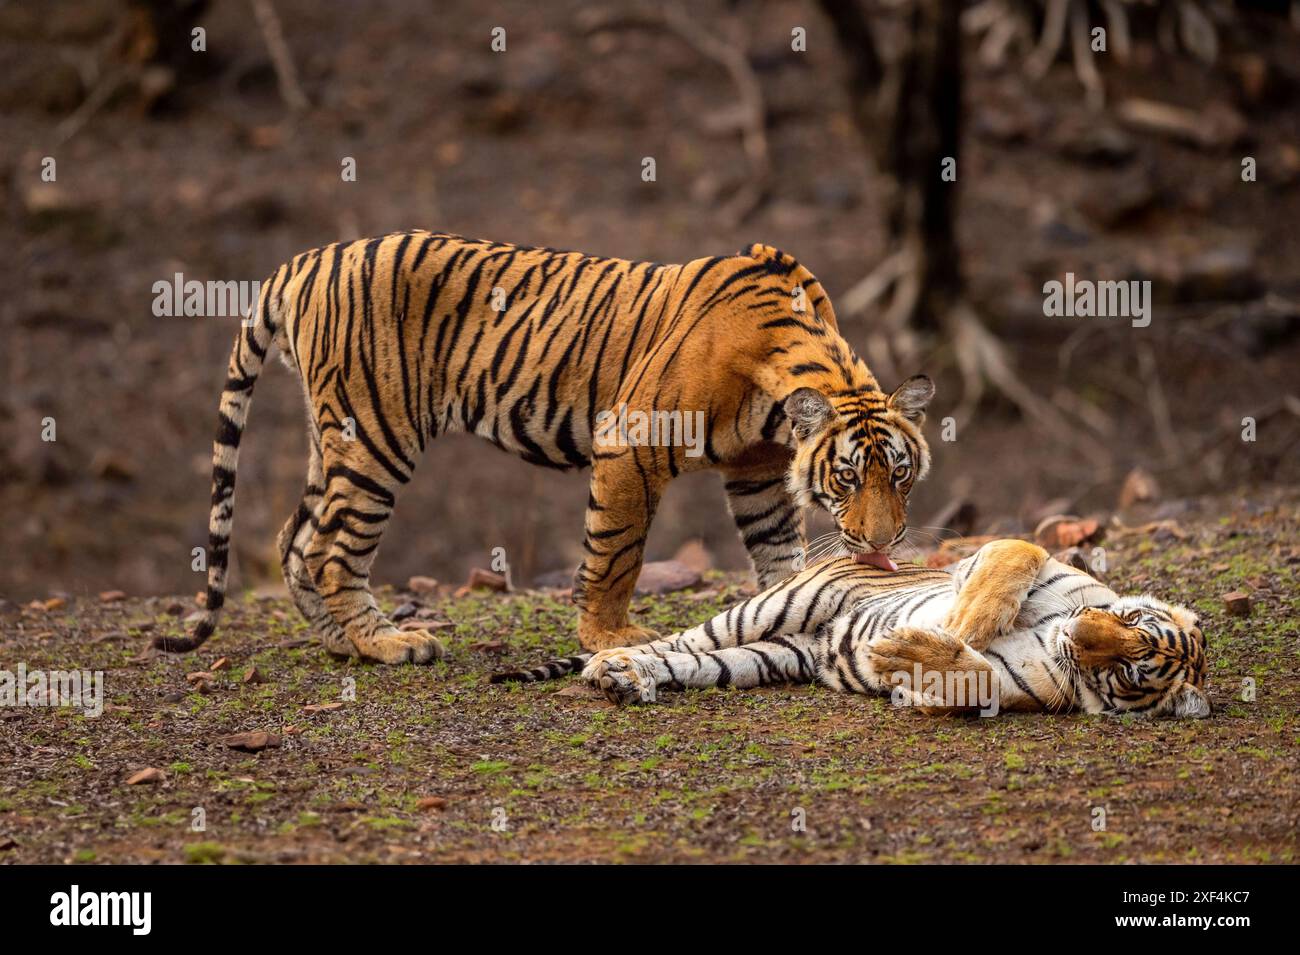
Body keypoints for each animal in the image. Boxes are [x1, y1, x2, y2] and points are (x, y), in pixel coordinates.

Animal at [157, 231, 935, 665]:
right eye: (846, 477)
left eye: (899, 476)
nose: (880, 543)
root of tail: (305, 259)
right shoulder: (630, 442)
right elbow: (616, 553)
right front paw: (608, 637)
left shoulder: (757, 472)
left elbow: (778, 556)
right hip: (376, 433)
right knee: (329, 547)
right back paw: (387, 645)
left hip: (335, 438)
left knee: (294, 539)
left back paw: (339, 641)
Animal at [491, 540, 1211, 722]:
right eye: (1128, 622)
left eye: (1129, 669)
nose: (1081, 636)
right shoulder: (1021, 561)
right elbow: (1017, 556)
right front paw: (969, 620)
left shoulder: (1001, 687)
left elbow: (972, 674)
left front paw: (904, 657)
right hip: (766, 610)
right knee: (675, 642)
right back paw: (610, 665)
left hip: (765, 656)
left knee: (689, 663)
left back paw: (625, 680)